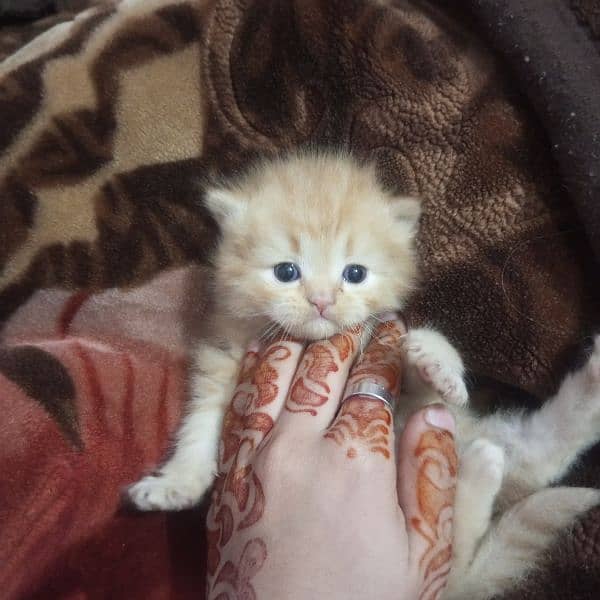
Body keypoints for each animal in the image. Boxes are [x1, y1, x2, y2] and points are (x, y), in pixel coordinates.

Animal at [129, 151, 466, 510]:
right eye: (286, 272)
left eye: (355, 274)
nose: (321, 300)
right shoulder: (224, 357)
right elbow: (201, 422)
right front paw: (176, 481)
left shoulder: (405, 403)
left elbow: (423, 393)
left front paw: (439, 365)